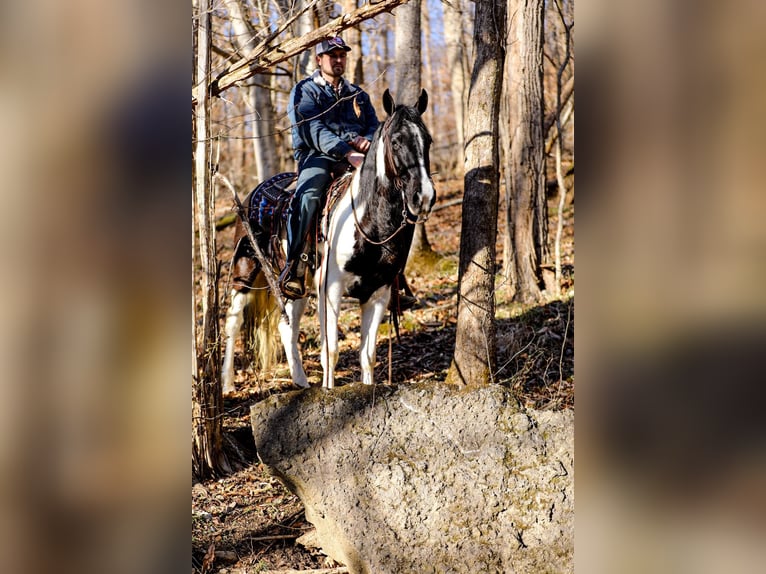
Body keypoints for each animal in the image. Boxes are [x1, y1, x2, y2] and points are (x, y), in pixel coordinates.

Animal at [224, 90, 438, 394]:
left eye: (427, 140)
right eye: (396, 141)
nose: (424, 197)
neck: (368, 223)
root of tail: (252, 197)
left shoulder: (379, 293)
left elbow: (367, 355)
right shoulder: (331, 290)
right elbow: (331, 351)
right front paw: (328, 393)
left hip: (298, 288)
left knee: (286, 328)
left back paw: (301, 382)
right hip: (244, 274)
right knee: (233, 322)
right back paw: (228, 383)